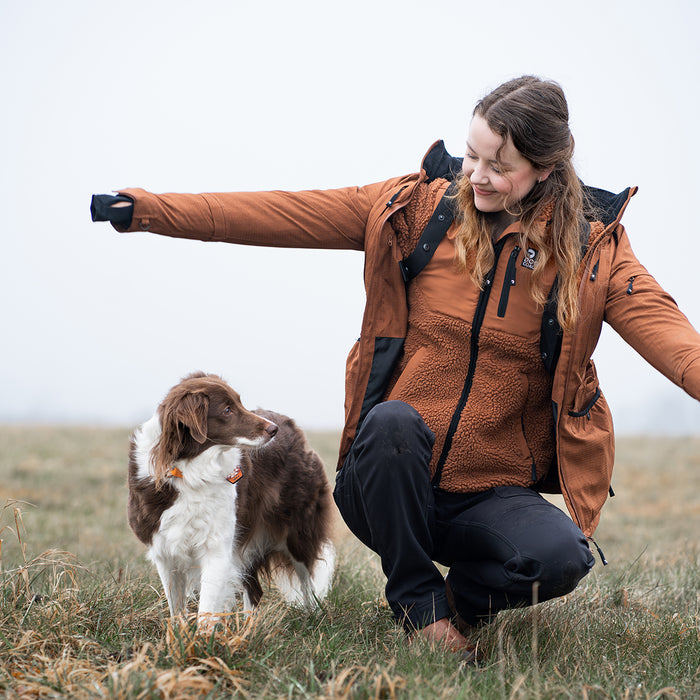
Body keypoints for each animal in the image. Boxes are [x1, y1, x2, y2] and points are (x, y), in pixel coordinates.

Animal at [128, 372, 336, 624]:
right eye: (227, 410)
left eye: (240, 403)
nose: (273, 429)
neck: (189, 470)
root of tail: (290, 423)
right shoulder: (165, 550)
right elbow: (176, 609)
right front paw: (179, 633)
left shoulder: (217, 548)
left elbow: (206, 611)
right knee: (254, 589)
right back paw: (248, 627)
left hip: (296, 532)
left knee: (307, 580)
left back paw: (314, 616)